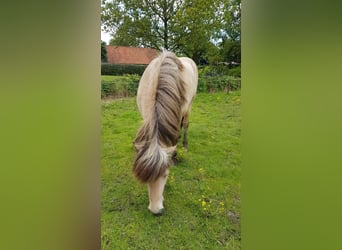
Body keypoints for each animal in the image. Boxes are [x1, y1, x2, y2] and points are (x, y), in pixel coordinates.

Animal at [133, 50, 198, 215]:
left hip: (190, 105)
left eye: (166, 175)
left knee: (185, 125)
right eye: (146, 179)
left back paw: (184, 145)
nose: (156, 211)